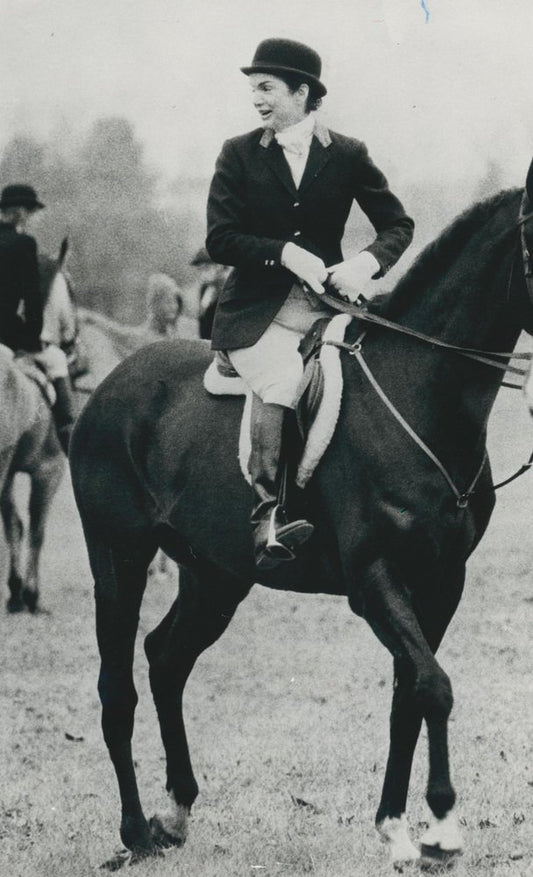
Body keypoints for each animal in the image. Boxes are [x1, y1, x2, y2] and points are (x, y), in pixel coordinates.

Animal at [68, 164, 532, 868]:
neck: (419, 395)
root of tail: (113, 383)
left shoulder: (441, 581)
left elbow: (410, 693)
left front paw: (397, 828)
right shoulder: (374, 580)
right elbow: (433, 686)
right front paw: (442, 828)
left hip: (217, 575)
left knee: (166, 659)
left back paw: (175, 814)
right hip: (118, 559)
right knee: (117, 689)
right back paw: (135, 832)